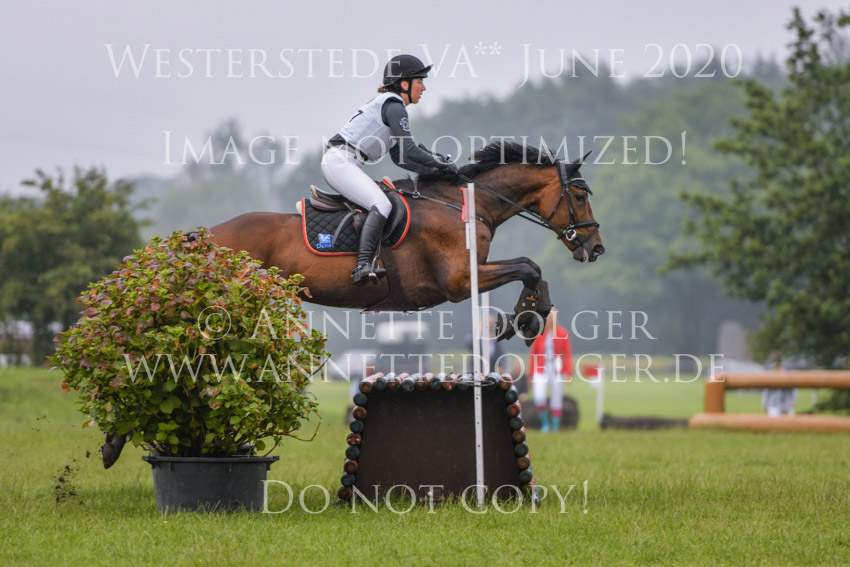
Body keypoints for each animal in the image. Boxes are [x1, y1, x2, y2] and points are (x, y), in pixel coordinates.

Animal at [208, 141, 604, 336]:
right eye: (579, 197)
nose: (596, 248)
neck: (463, 204)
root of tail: (208, 236)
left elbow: (531, 268)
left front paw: (530, 315)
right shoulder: (460, 282)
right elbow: (528, 267)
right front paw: (524, 318)